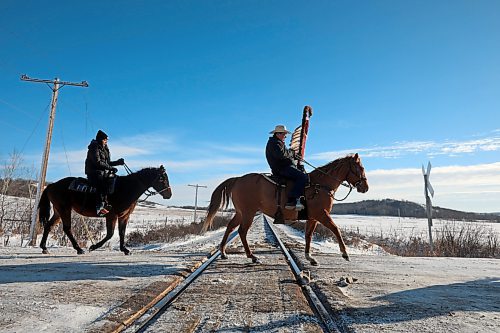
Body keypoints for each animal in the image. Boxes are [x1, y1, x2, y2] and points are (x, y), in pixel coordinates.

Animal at [37, 165, 172, 254]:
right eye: (162, 178)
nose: (169, 195)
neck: (126, 188)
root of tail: (52, 185)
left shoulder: (124, 216)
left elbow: (121, 232)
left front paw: (125, 249)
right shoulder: (111, 215)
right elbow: (110, 234)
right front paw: (93, 247)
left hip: (58, 211)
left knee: (48, 226)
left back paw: (44, 247)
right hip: (64, 209)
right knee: (67, 228)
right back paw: (79, 249)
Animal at [201, 153, 370, 264]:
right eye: (359, 168)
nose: (365, 187)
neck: (320, 185)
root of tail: (237, 180)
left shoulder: (313, 218)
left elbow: (308, 236)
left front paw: (309, 257)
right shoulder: (322, 215)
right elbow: (336, 229)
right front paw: (345, 253)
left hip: (241, 213)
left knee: (230, 227)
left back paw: (223, 252)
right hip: (248, 213)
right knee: (242, 231)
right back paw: (252, 256)